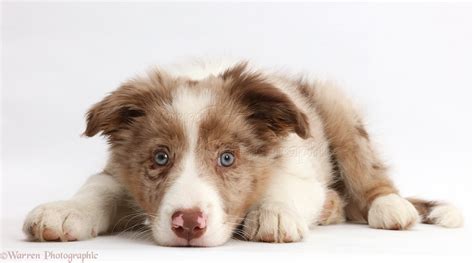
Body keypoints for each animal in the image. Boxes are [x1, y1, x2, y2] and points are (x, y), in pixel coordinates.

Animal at [23, 60, 462, 246]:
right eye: (160, 158)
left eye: (227, 158)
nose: (188, 224)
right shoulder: (119, 172)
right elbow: (98, 188)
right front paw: (63, 211)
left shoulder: (299, 165)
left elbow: (281, 185)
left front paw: (273, 216)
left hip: (335, 105)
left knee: (368, 172)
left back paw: (389, 207)